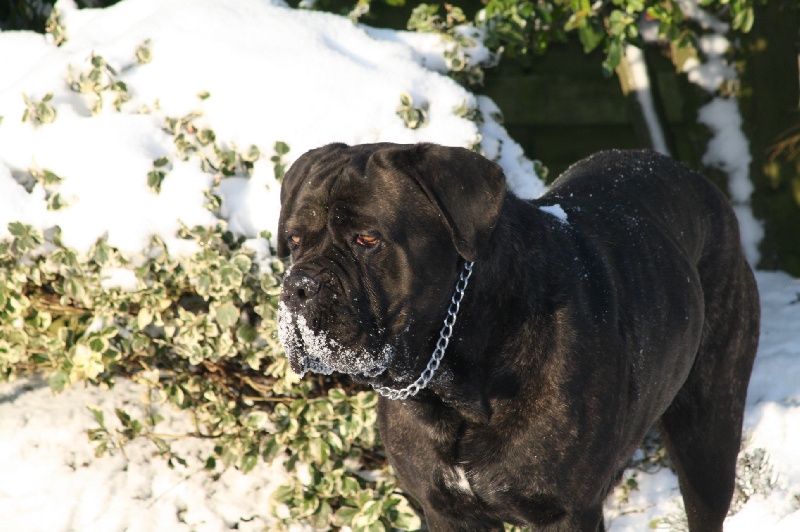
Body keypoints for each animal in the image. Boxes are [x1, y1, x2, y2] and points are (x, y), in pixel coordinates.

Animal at [278, 143, 760, 528]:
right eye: (295, 240)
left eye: (367, 239)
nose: (298, 287)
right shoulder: (446, 512)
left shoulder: (566, 513)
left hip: (708, 439)